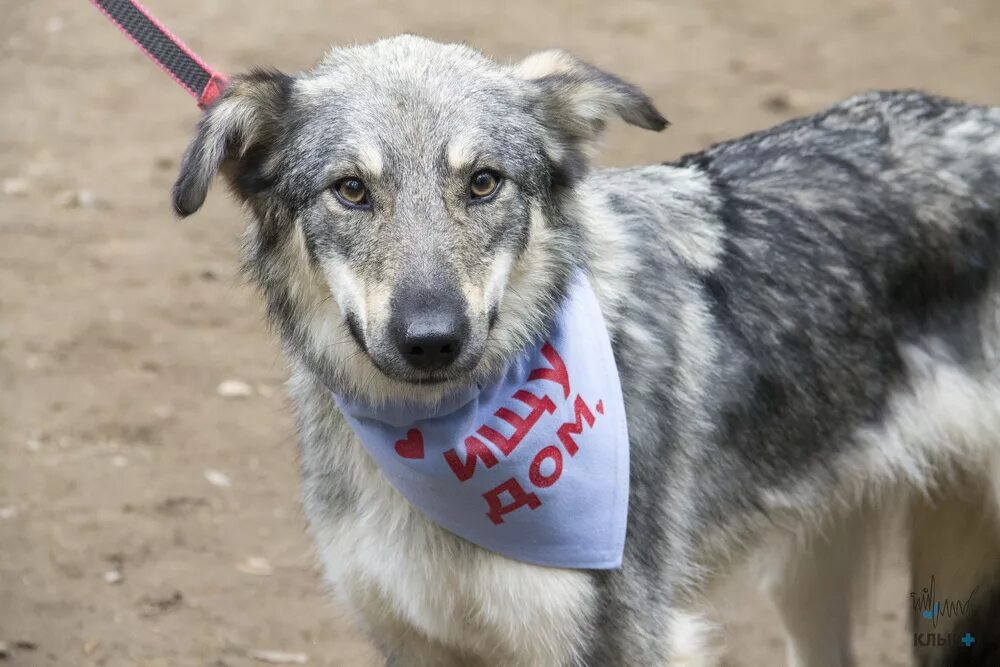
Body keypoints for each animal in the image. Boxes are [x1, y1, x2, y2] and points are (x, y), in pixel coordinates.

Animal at [172, 37, 1000, 667]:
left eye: (483, 183)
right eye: (350, 190)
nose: (433, 340)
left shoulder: (621, 640)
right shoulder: (411, 640)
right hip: (810, 576)